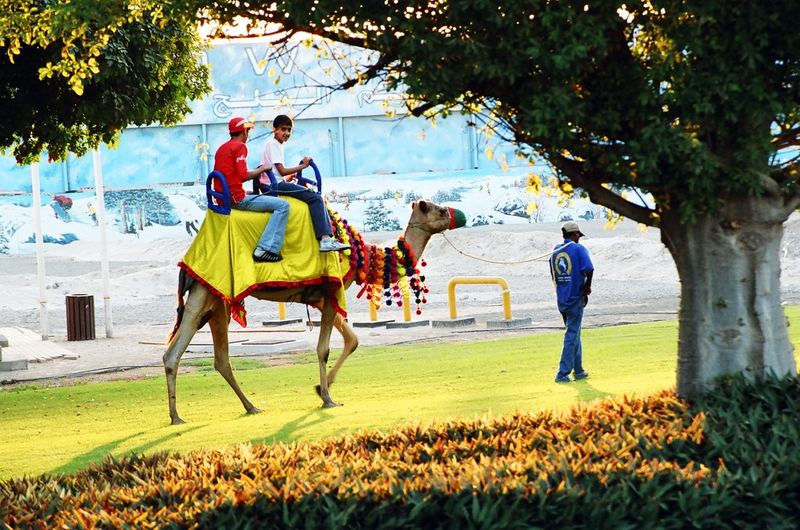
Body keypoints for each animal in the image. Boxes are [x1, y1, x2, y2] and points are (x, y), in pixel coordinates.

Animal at [161, 200, 468, 422]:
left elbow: (352, 340)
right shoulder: (332, 289)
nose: (460, 215)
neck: (358, 252)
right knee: (177, 351)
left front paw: (322, 389)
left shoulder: (323, 297)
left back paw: (248, 407)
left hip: (218, 301)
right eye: (441, 209)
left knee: (217, 358)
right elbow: (323, 348)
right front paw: (328, 399)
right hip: (206, 290)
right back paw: (178, 417)